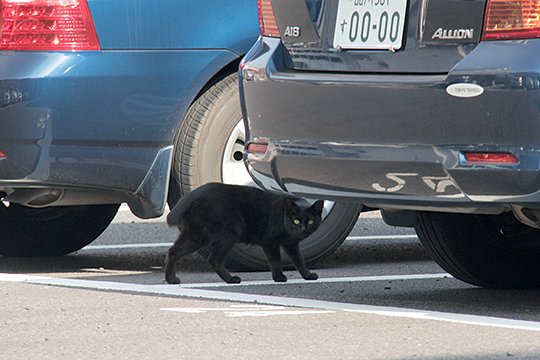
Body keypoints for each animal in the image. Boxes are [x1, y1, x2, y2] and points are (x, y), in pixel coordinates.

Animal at [165, 183, 322, 284]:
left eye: (310, 221)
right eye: (296, 221)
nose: (303, 229)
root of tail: (190, 195)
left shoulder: (291, 244)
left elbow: (299, 259)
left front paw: (308, 275)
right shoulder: (270, 241)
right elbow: (276, 260)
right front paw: (279, 277)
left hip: (195, 234)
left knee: (173, 251)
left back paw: (171, 280)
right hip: (225, 233)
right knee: (214, 259)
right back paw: (231, 279)